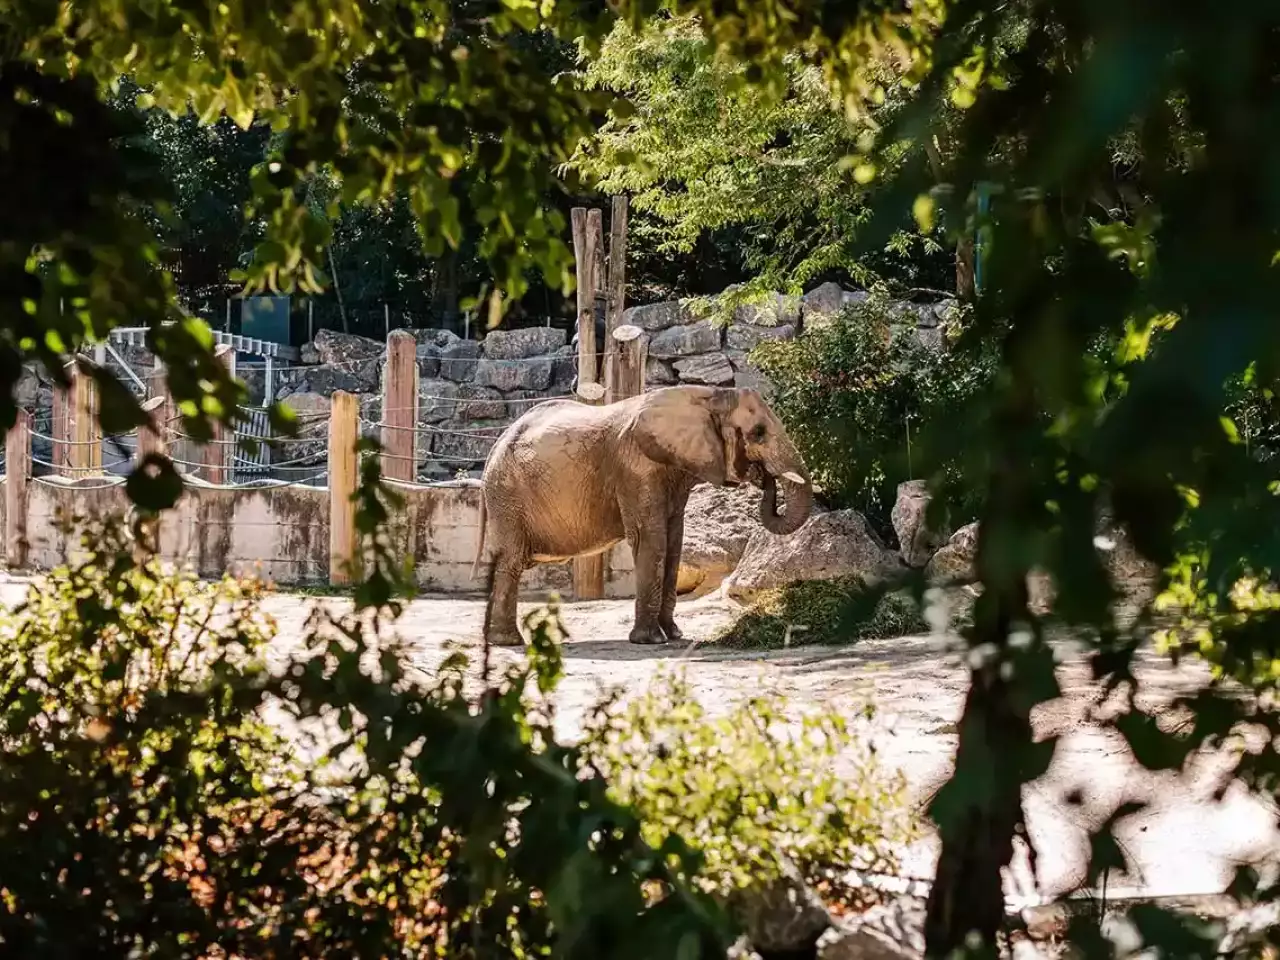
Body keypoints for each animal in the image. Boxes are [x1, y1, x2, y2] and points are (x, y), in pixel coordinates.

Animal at [471, 385, 813, 647]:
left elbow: (674, 543)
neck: (708, 395)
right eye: (758, 433)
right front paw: (651, 640)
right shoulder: (636, 467)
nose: (763, 476)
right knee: (511, 561)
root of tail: (495, 446)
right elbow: (652, 539)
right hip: (507, 494)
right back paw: (508, 642)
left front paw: (674, 635)